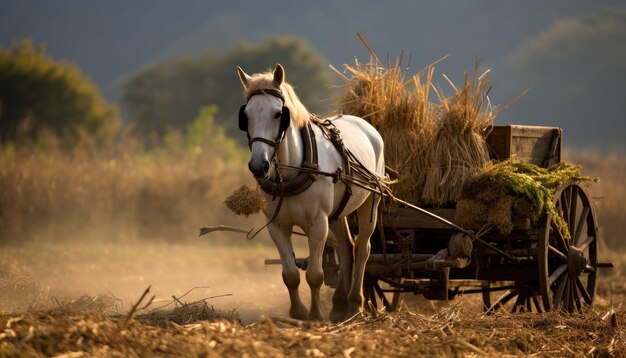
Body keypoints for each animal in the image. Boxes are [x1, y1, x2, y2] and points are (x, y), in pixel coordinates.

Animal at [235, 64, 386, 322]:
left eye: (278, 114)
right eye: (246, 116)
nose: (259, 165)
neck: (291, 171)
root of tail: (365, 124)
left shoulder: (317, 223)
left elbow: (315, 274)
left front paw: (315, 314)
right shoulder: (277, 226)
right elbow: (290, 274)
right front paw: (298, 312)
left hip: (370, 204)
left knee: (363, 249)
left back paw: (356, 302)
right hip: (337, 214)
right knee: (347, 248)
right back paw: (339, 305)